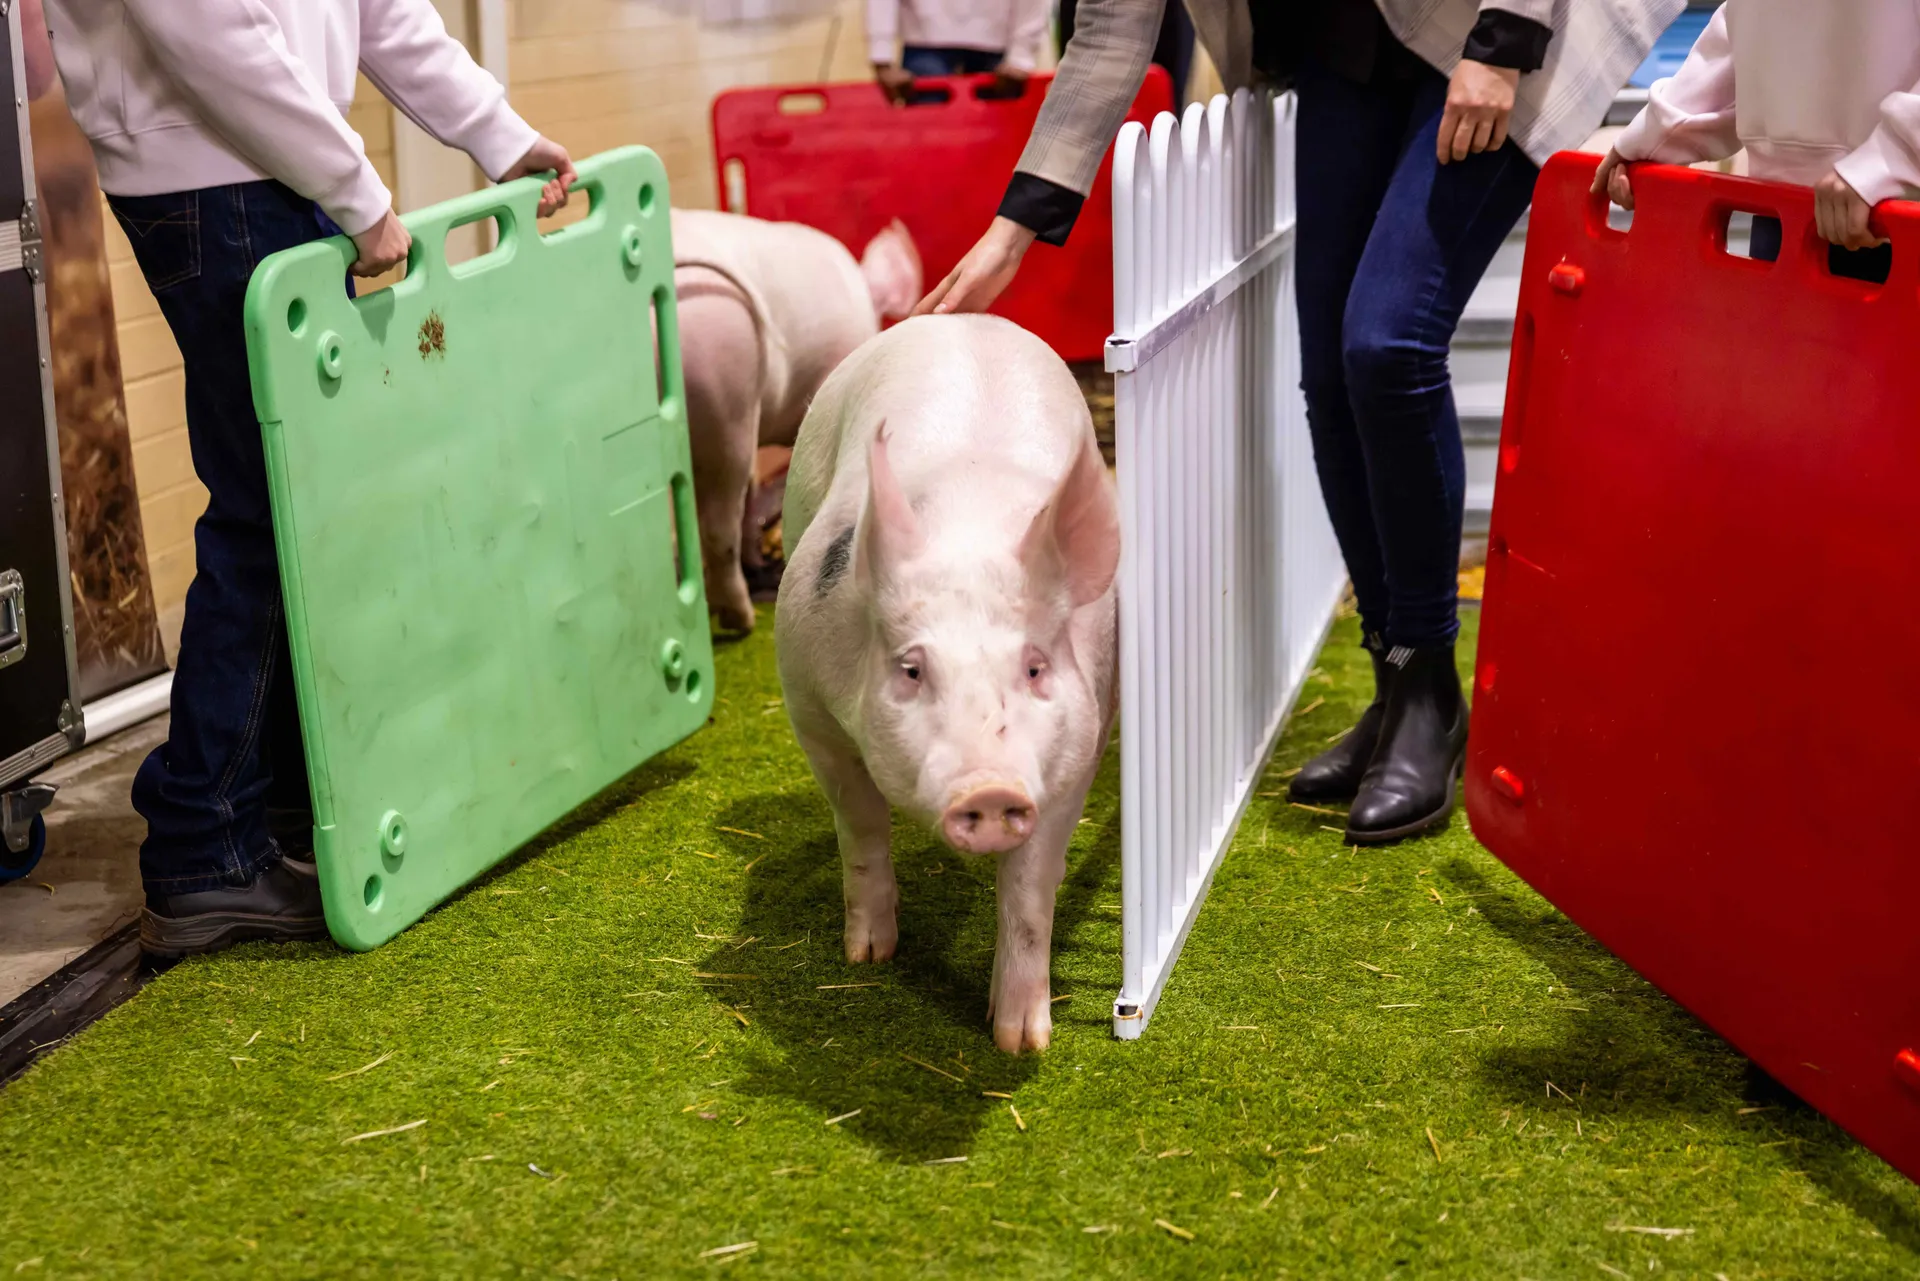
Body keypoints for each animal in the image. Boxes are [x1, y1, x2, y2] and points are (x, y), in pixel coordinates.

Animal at [775, 314, 1120, 1054]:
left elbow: (1030, 892)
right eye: (912, 668)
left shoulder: (1079, 751)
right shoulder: (809, 708)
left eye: (1034, 667)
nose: (989, 787)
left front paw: (1022, 1041)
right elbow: (860, 827)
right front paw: (867, 956)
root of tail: (959, 317)